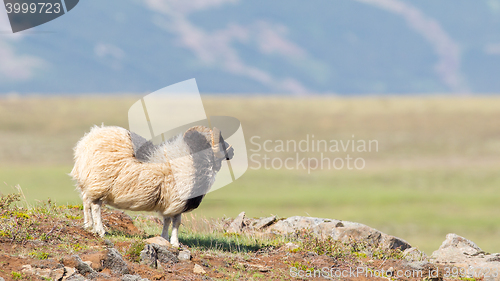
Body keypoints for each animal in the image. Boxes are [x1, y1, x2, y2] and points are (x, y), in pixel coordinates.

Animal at [70, 123, 234, 246]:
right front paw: (175, 243)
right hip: (99, 183)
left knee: (86, 203)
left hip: (90, 183)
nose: (232, 150)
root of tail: (85, 143)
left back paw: (89, 226)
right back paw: (100, 230)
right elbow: (176, 222)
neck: (192, 159)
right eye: (220, 141)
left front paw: (164, 238)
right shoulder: (177, 200)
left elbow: (167, 220)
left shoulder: (168, 201)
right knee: (95, 207)